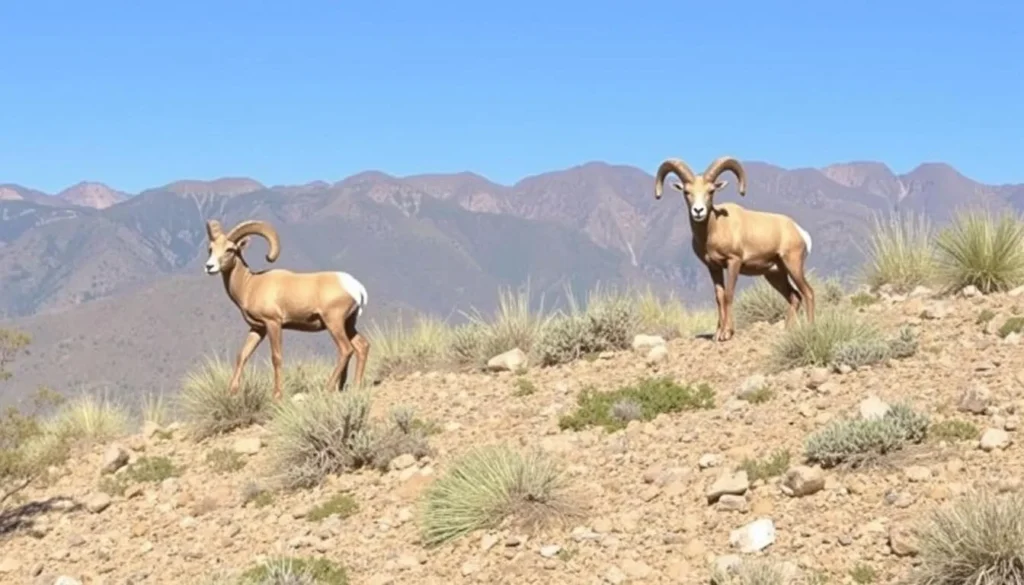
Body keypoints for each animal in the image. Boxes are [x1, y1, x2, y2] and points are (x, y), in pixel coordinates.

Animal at [203, 219, 370, 400]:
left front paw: (277, 394)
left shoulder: (273, 324)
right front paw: (232, 392)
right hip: (348, 325)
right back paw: (356, 387)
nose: (209, 266)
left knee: (346, 350)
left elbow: (276, 357)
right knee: (362, 346)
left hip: (334, 323)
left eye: (230, 249)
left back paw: (328, 387)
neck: (250, 285)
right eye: (211, 249)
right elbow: (242, 355)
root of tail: (355, 287)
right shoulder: (257, 328)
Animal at [653, 156, 815, 342]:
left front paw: (726, 334)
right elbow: (719, 297)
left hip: (793, 265)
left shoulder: (733, 262)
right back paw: (788, 331)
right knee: (794, 296)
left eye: (711, 191)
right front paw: (717, 334)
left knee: (808, 292)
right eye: (686, 192)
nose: (698, 211)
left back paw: (810, 327)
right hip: (775, 274)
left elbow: (729, 295)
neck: (715, 229)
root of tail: (799, 231)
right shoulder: (714, 267)